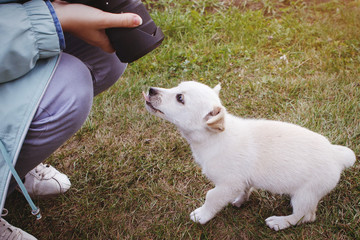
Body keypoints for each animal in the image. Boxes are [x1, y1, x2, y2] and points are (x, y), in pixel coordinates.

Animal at [143, 81, 354, 231]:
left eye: (180, 98)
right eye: (177, 87)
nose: (151, 90)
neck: (214, 137)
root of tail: (336, 156)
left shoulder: (227, 184)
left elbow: (211, 197)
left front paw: (202, 215)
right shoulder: (241, 181)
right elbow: (245, 190)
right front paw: (240, 200)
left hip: (306, 195)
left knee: (305, 216)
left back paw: (280, 222)